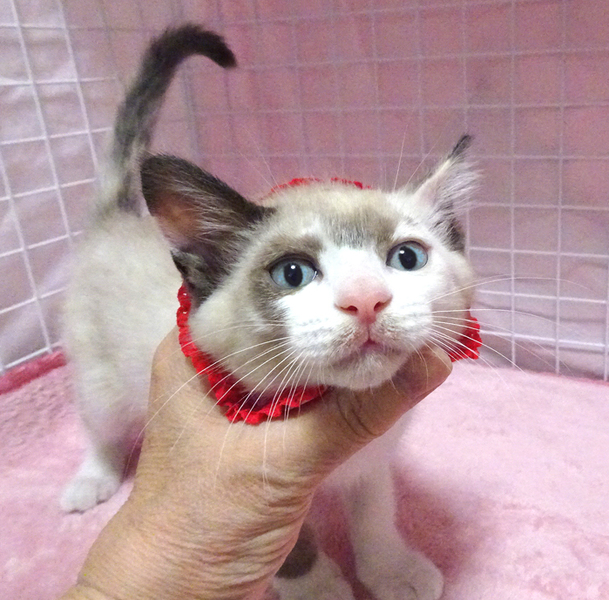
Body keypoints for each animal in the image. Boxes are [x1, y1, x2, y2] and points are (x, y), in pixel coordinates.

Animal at [61, 24, 477, 600]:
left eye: (407, 258)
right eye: (293, 274)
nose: (366, 298)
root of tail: (119, 219)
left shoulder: (373, 459)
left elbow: (375, 512)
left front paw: (392, 571)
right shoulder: (254, 478)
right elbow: (289, 541)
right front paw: (319, 588)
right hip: (98, 368)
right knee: (98, 421)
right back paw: (91, 480)